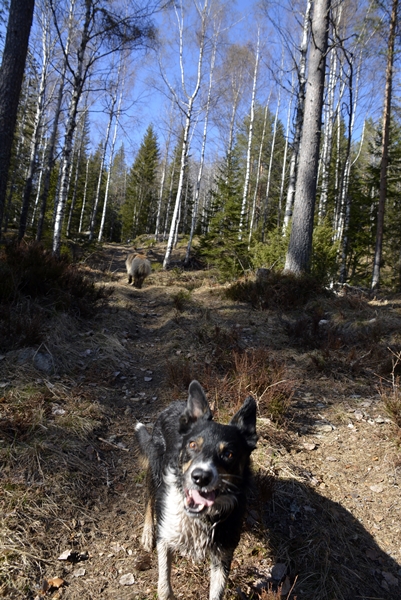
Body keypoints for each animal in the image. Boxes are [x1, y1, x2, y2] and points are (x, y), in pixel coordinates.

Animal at [136, 380, 258, 600]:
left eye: (229, 454)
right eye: (192, 445)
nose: (200, 477)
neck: (201, 518)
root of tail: (175, 404)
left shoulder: (223, 554)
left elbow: (217, 592)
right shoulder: (166, 537)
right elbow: (164, 587)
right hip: (156, 469)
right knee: (149, 499)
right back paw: (147, 533)